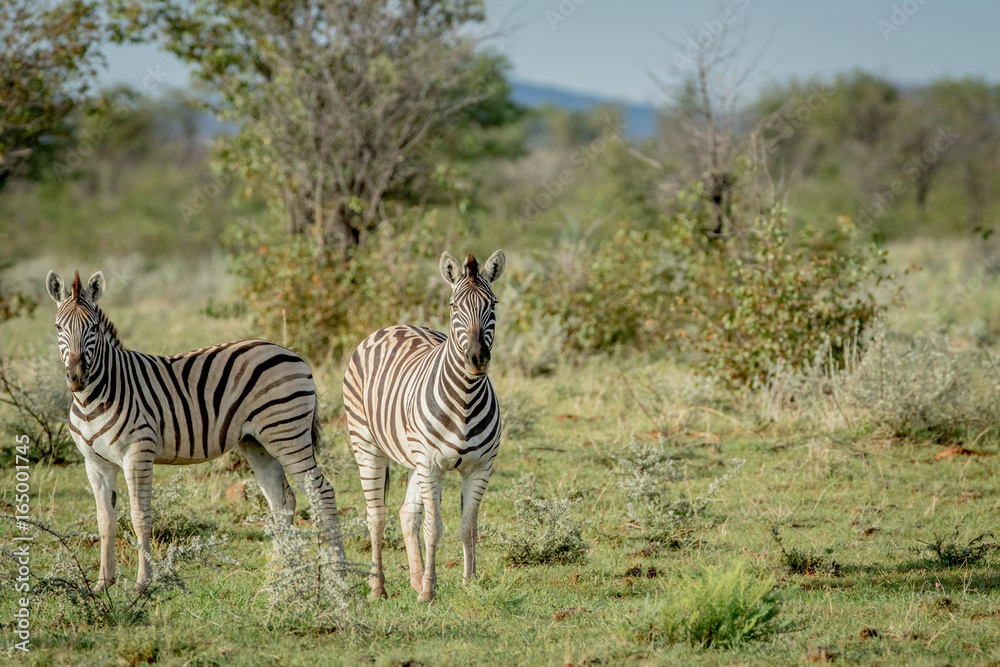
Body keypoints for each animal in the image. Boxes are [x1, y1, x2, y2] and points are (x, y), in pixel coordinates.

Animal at [45, 270, 346, 592]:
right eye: (58, 327)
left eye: (93, 328)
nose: (77, 377)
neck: (92, 399)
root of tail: (289, 351)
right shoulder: (95, 464)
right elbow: (105, 521)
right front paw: (103, 583)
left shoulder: (138, 454)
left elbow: (140, 517)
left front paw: (143, 582)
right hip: (257, 442)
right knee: (282, 501)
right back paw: (277, 577)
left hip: (287, 434)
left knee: (323, 493)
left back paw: (338, 574)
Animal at [343, 250, 505, 602]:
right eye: (454, 306)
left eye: (493, 304)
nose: (477, 359)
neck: (466, 399)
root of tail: (394, 325)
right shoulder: (431, 465)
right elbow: (434, 527)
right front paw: (430, 590)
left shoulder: (480, 468)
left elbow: (468, 527)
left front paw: (469, 584)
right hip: (367, 444)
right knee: (376, 516)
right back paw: (378, 587)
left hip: (413, 458)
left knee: (406, 514)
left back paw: (414, 579)